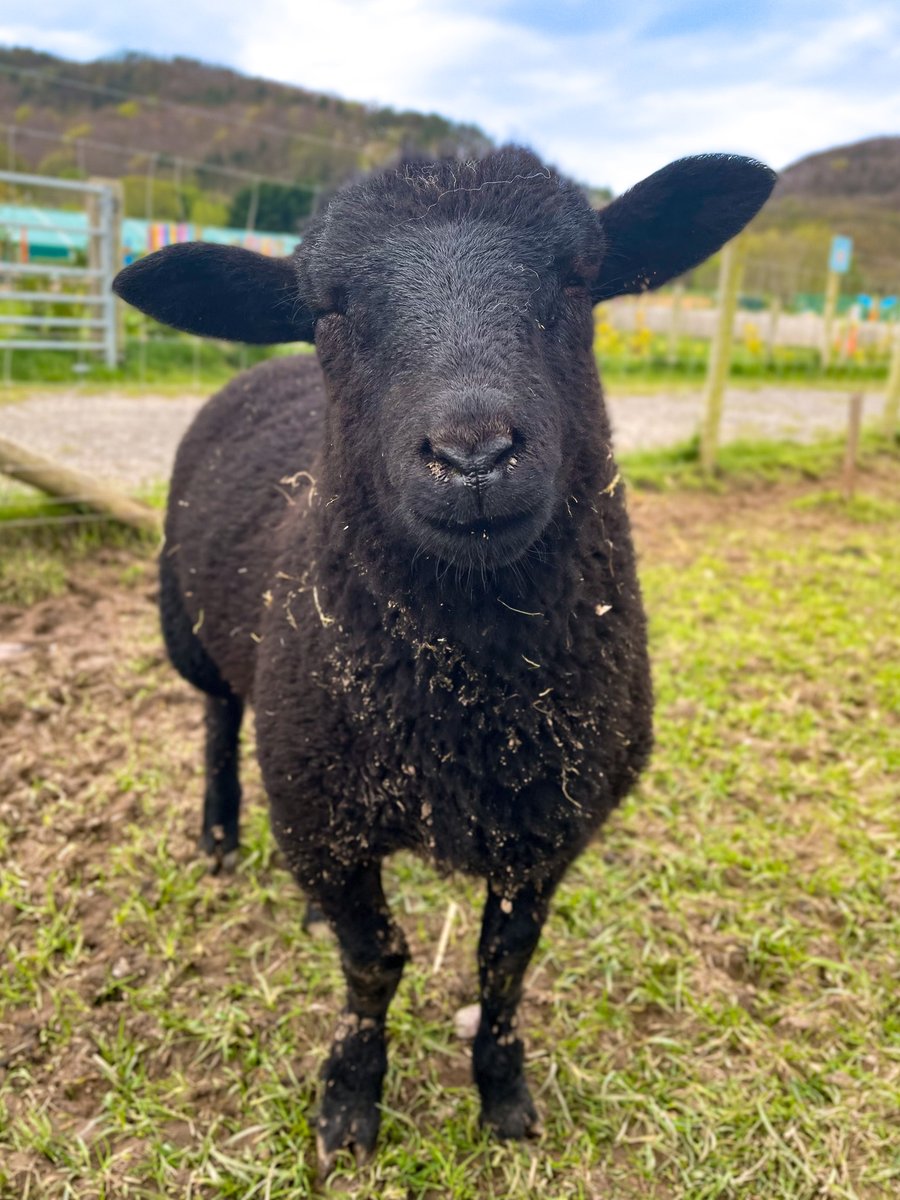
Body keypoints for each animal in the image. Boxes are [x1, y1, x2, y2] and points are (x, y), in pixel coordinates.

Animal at [113, 146, 775, 1170]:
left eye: (578, 279)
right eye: (331, 308)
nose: (472, 457)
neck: (470, 710)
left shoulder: (547, 830)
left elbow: (503, 968)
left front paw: (503, 1095)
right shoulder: (320, 804)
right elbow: (374, 963)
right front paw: (350, 1102)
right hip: (190, 631)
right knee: (221, 713)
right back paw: (219, 831)